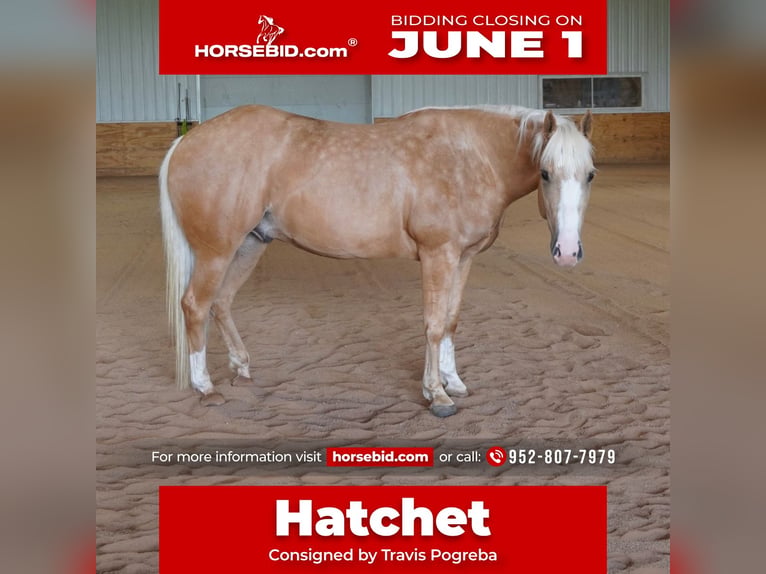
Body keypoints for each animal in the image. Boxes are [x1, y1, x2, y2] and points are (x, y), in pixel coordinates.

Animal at [159, 104, 594, 417]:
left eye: (589, 174)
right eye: (545, 173)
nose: (567, 252)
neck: (471, 156)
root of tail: (187, 142)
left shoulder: (464, 257)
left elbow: (451, 321)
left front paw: (453, 381)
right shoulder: (438, 255)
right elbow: (433, 325)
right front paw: (436, 395)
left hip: (250, 245)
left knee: (221, 303)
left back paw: (242, 369)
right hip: (217, 251)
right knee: (195, 305)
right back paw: (206, 387)